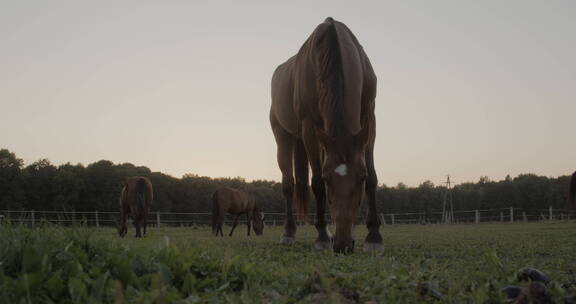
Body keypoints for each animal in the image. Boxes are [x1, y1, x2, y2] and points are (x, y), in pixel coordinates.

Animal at [270, 17, 382, 253]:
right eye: (328, 178)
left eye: (361, 177)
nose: (343, 245)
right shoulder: (309, 126)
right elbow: (316, 183)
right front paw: (321, 236)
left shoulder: (369, 117)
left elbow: (374, 178)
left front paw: (374, 237)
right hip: (283, 135)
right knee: (288, 184)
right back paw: (289, 233)